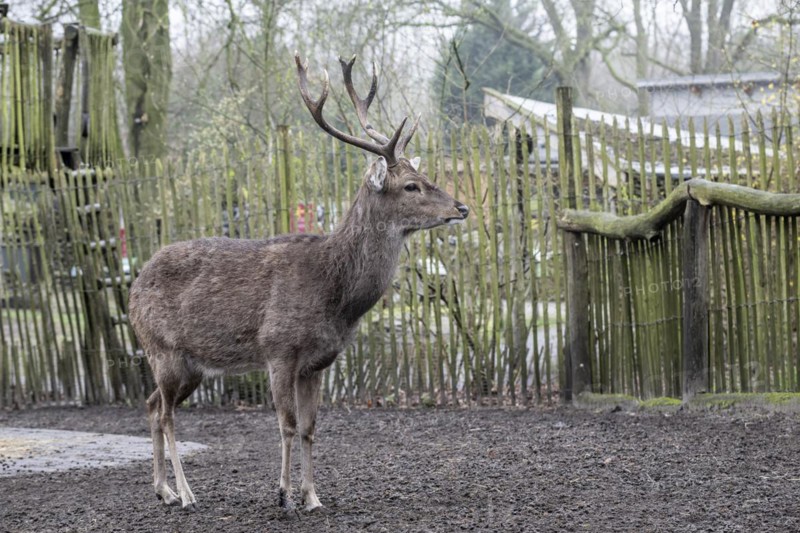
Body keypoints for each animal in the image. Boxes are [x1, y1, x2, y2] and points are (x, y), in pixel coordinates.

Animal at [128, 53, 469, 513]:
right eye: (411, 185)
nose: (461, 207)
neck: (336, 296)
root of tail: (133, 285)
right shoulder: (279, 349)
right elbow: (286, 424)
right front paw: (283, 494)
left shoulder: (318, 362)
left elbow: (310, 428)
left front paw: (312, 496)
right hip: (161, 348)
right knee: (166, 414)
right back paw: (185, 493)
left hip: (191, 364)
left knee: (150, 406)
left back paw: (162, 489)